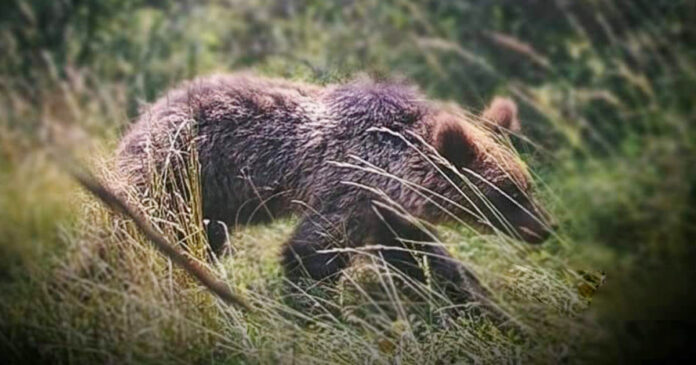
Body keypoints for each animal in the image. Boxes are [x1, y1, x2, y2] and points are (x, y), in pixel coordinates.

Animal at [115, 72, 556, 302]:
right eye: (506, 194)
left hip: (208, 202)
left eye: (527, 186)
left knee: (203, 239)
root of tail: (144, 116)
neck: (390, 163)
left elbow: (423, 255)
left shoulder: (386, 212)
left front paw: (475, 297)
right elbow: (311, 254)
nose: (545, 227)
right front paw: (308, 308)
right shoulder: (346, 192)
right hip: (175, 172)